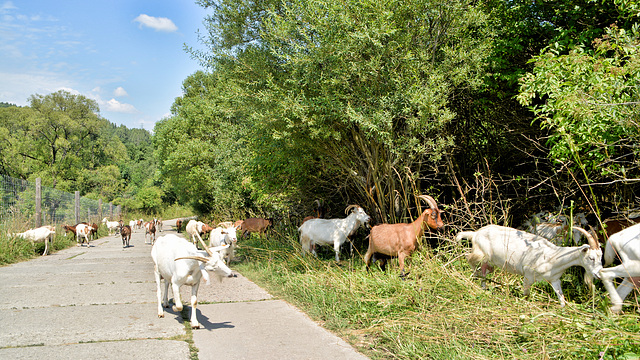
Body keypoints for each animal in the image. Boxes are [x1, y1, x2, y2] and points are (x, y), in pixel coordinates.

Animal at [458, 225, 604, 306]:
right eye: (591, 258)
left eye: (601, 257)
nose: (598, 274)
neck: (553, 256)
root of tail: (475, 233)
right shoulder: (528, 275)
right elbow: (526, 295)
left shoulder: (555, 280)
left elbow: (561, 298)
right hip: (481, 253)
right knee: (469, 258)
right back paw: (475, 277)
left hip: (489, 260)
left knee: (485, 269)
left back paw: (483, 286)